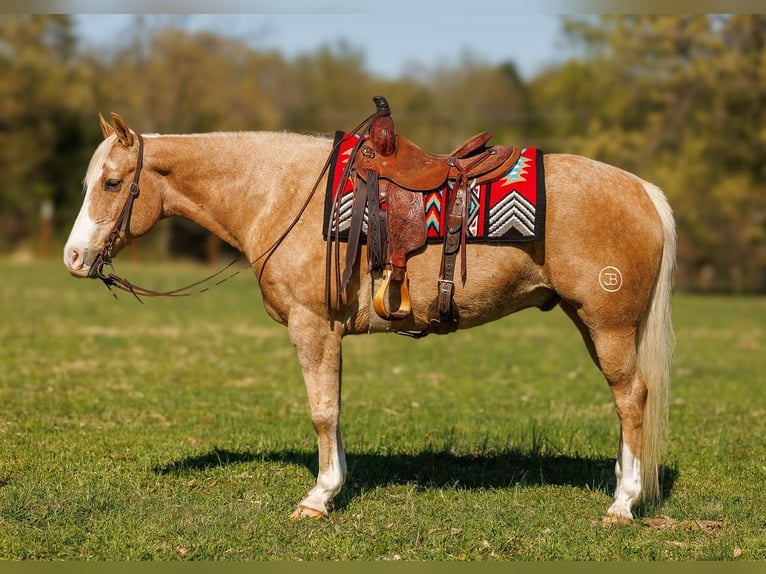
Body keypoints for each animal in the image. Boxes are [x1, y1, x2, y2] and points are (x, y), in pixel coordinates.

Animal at [63, 112, 675, 525]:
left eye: (112, 183)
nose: (73, 258)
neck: (281, 194)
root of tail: (642, 189)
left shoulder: (311, 326)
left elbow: (322, 412)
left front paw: (319, 497)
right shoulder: (330, 332)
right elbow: (334, 409)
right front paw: (334, 485)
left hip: (609, 326)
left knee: (631, 398)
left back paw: (623, 503)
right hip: (592, 324)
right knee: (625, 400)